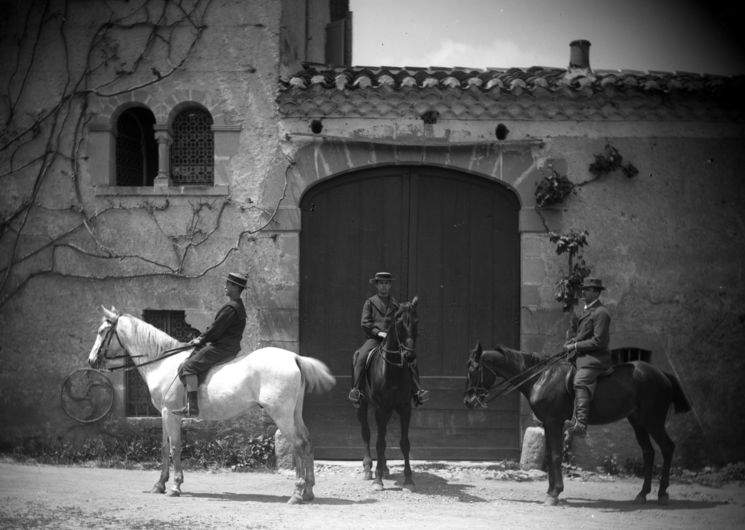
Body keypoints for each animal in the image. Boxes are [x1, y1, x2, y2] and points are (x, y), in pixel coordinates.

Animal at [87, 304, 334, 502]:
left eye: (102, 332)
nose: (91, 360)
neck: (162, 363)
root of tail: (293, 357)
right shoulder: (164, 415)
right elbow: (165, 447)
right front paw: (159, 484)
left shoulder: (171, 413)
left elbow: (175, 447)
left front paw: (175, 486)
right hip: (294, 413)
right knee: (307, 442)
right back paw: (308, 491)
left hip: (281, 414)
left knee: (298, 445)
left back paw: (297, 493)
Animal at [354, 294, 418, 488]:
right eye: (398, 322)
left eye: (416, 321)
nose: (410, 356)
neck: (393, 370)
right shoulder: (380, 408)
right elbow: (380, 443)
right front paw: (378, 480)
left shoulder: (404, 408)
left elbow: (404, 443)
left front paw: (408, 479)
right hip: (362, 405)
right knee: (367, 434)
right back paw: (369, 469)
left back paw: (383, 467)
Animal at [462, 342, 688, 504]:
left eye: (473, 369)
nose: (468, 401)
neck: (540, 377)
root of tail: (662, 374)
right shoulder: (548, 423)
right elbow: (549, 454)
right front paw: (550, 490)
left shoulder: (554, 422)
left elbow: (555, 455)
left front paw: (555, 493)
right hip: (638, 421)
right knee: (649, 452)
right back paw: (643, 494)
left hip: (653, 420)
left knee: (667, 447)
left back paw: (662, 493)